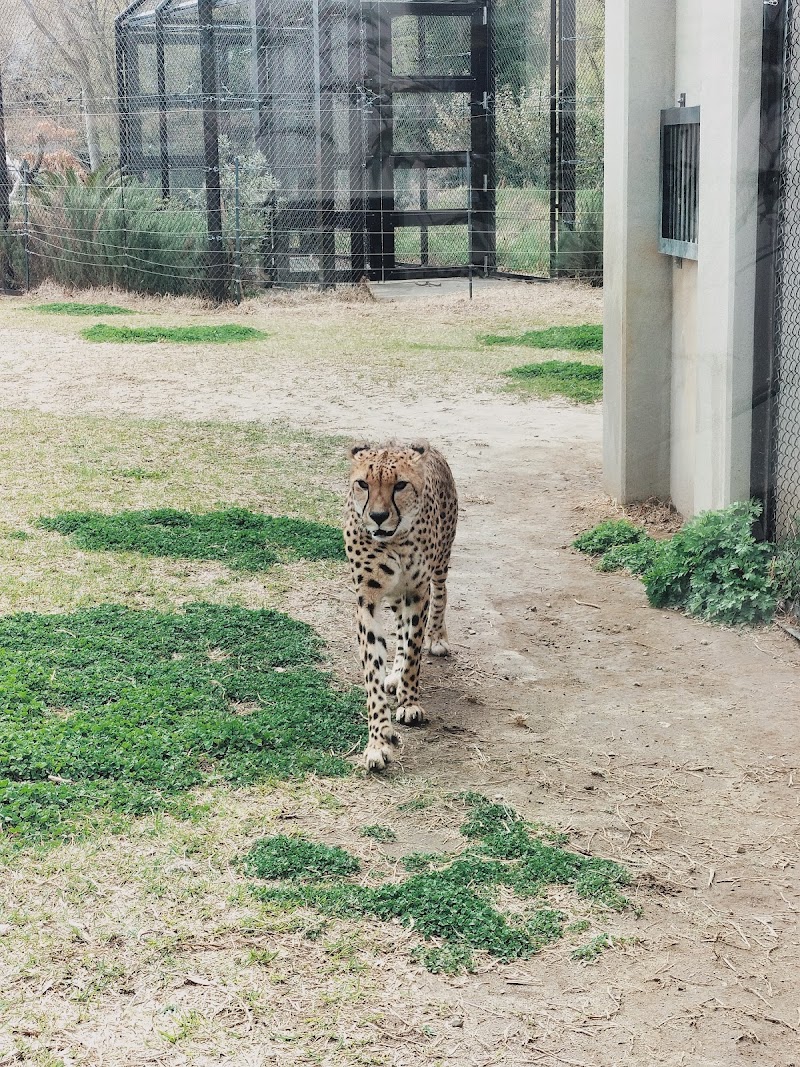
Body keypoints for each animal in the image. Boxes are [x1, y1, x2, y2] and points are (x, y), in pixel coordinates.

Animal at [343, 437, 456, 772]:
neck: (392, 542)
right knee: (400, 628)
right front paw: (378, 741)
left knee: (440, 594)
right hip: (395, 595)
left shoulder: (417, 592)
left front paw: (409, 704)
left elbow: (414, 650)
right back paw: (392, 673)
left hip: (440, 562)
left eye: (401, 485)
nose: (378, 517)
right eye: (363, 484)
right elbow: (374, 667)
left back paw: (437, 637)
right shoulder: (367, 599)